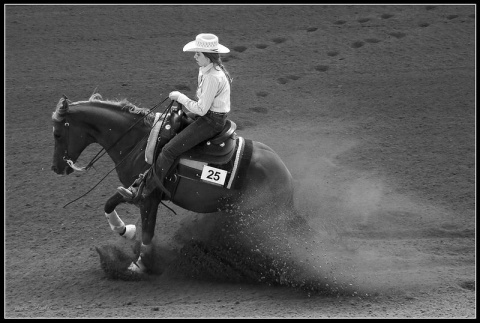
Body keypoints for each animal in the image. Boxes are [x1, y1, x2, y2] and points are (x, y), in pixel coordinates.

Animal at [50, 93, 294, 276]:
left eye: (57, 133)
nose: (56, 168)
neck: (138, 142)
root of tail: (286, 176)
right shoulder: (135, 191)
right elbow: (109, 204)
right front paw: (126, 231)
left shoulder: (148, 197)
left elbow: (147, 231)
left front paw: (139, 264)